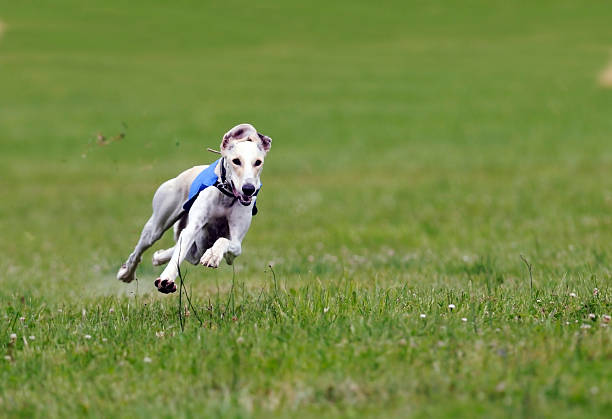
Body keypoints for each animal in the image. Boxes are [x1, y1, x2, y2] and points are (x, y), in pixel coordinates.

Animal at [117, 124, 272, 296]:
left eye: (258, 162)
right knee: (140, 250)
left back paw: (159, 257)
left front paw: (212, 255)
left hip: (198, 248)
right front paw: (166, 279)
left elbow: (225, 241)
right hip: (157, 227)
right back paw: (127, 273)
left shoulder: (234, 248)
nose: (249, 189)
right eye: (236, 161)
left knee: (189, 253)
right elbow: (181, 249)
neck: (226, 195)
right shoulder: (192, 229)